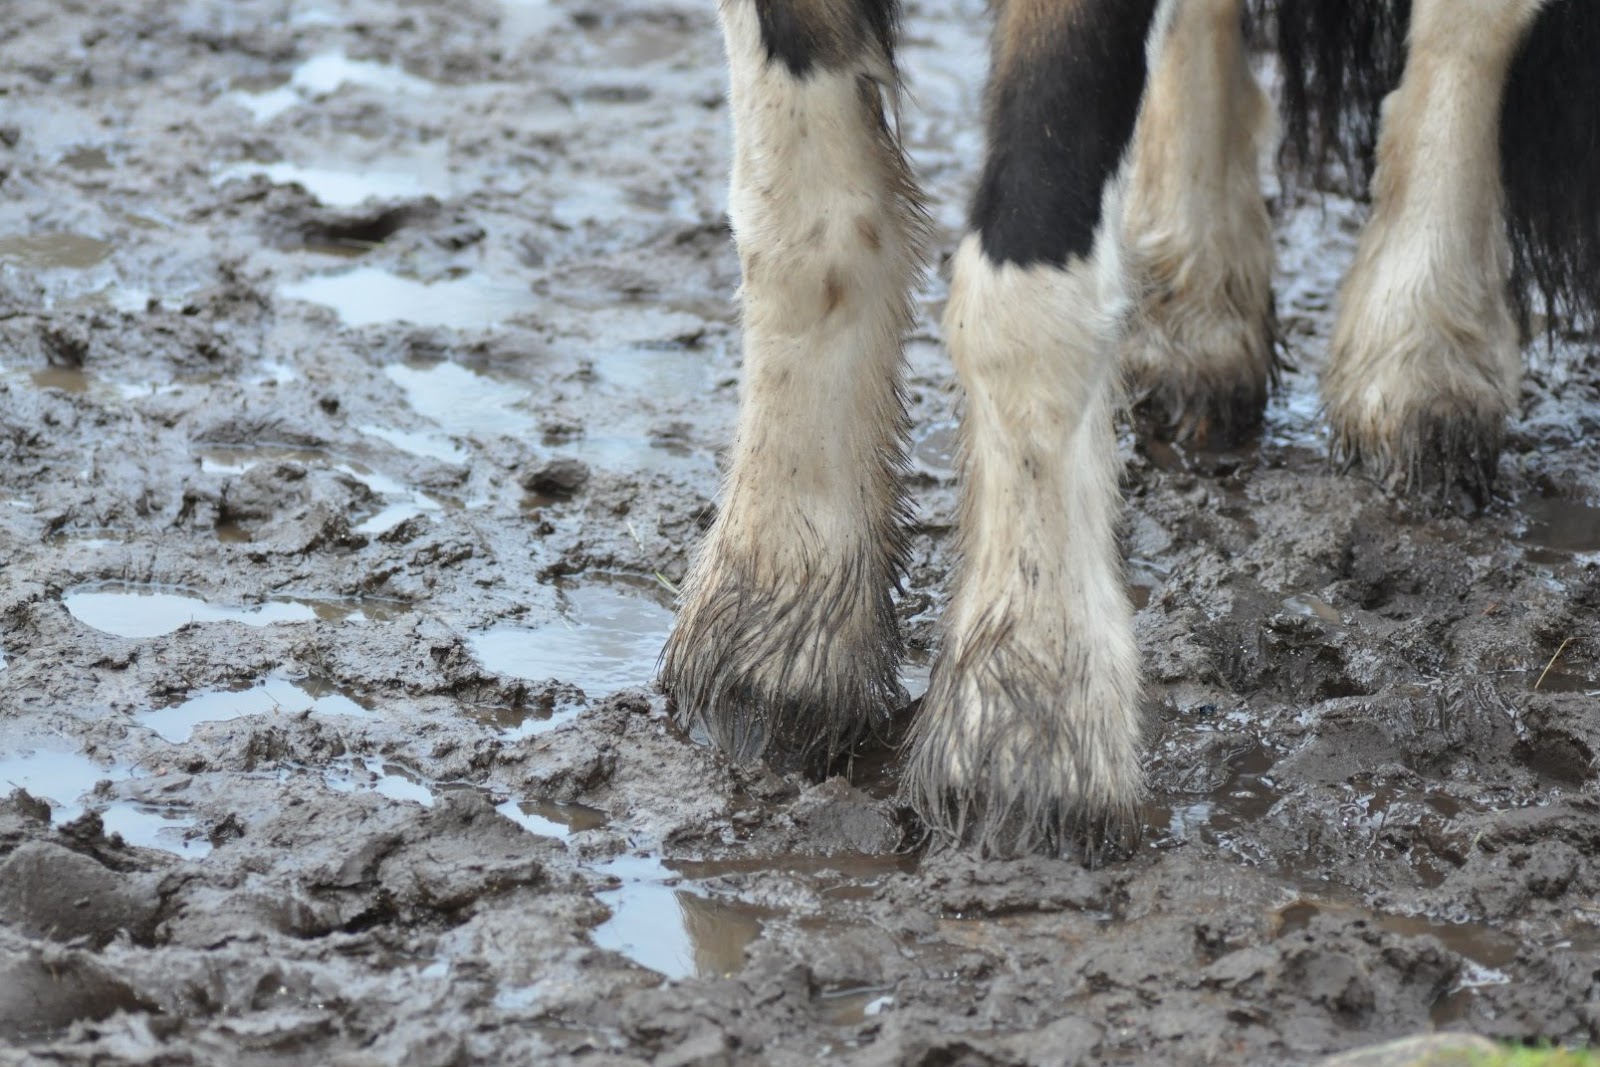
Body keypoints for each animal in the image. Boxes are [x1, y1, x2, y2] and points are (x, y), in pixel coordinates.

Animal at [658, 0, 1600, 859]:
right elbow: (803, 220)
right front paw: (776, 622)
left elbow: (1023, 291)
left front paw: (1028, 723)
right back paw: (1193, 305)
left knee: (1470, 33)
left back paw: (1419, 352)